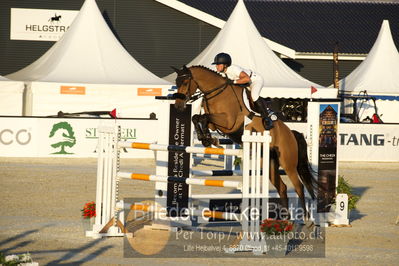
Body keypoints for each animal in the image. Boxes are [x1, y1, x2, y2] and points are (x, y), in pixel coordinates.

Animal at [172, 65, 318, 220]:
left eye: (185, 82)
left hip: (288, 164)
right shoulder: (215, 124)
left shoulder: (229, 122)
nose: (178, 106)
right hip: (269, 164)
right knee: (283, 188)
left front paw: (208, 139)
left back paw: (305, 218)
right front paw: (207, 139)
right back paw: (286, 218)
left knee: (299, 186)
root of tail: (292, 133)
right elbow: (197, 117)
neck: (217, 93)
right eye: (176, 82)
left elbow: (204, 117)